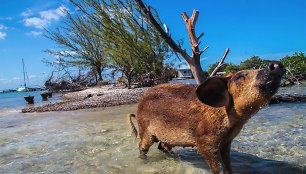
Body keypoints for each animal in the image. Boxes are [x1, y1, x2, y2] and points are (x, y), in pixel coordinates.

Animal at [128, 61, 286, 174]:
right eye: (239, 76)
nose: (276, 64)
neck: (235, 122)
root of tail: (139, 105)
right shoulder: (204, 140)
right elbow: (217, 167)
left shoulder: (226, 142)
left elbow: (228, 163)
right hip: (145, 130)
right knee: (142, 146)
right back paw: (144, 162)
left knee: (162, 146)